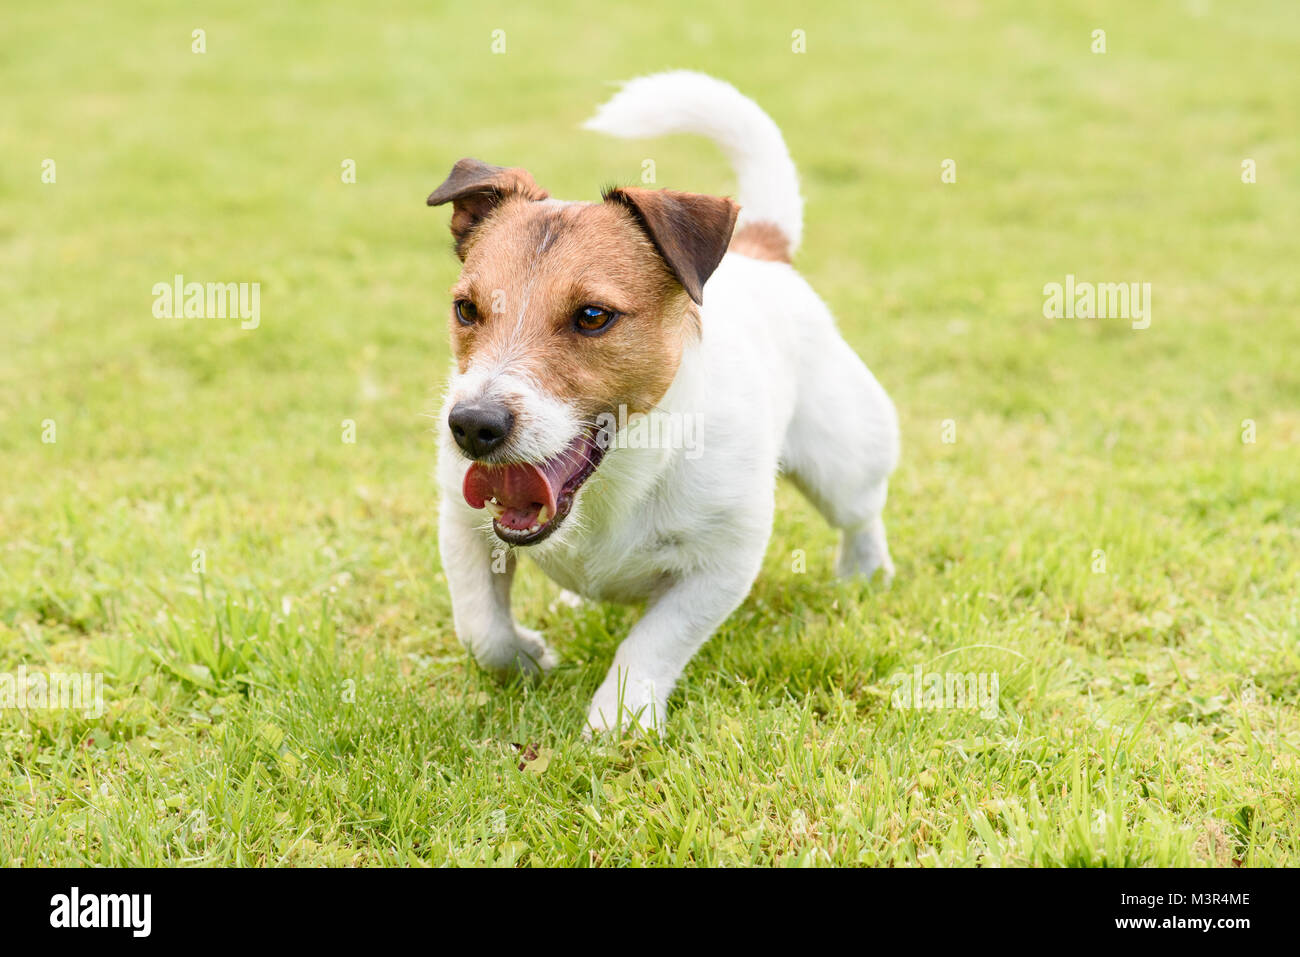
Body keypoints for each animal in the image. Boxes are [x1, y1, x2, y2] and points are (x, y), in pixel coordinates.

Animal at [426, 72, 894, 733]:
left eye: (593, 317)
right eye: (466, 309)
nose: (471, 426)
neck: (619, 479)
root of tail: (760, 250)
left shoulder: (723, 563)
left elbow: (653, 641)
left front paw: (618, 718)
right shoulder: (462, 524)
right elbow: (479, 628)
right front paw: (525, 656)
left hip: (844, 461)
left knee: (861, 512)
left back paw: (865, 572)